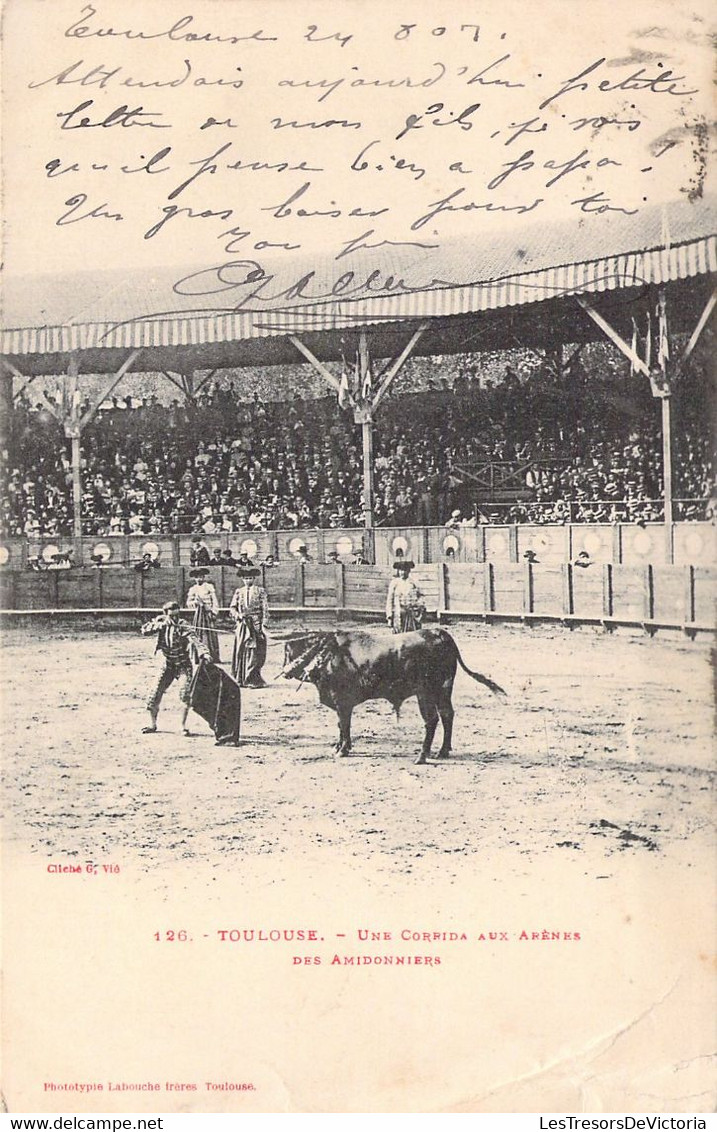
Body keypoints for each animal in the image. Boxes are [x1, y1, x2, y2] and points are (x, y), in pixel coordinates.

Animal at [279, 624, 502, 765]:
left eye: (287, 653)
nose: (284, 672)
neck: (327, 654)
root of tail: (438, 633)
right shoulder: (341, 703)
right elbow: (341, 726)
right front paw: (340, 747)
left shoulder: (342, 701)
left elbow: (344, 725)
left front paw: (342, 750)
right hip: (443, 690)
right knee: (447, 714)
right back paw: (442, 751)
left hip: (426, 692)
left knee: (431, 720)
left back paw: (422, 757)